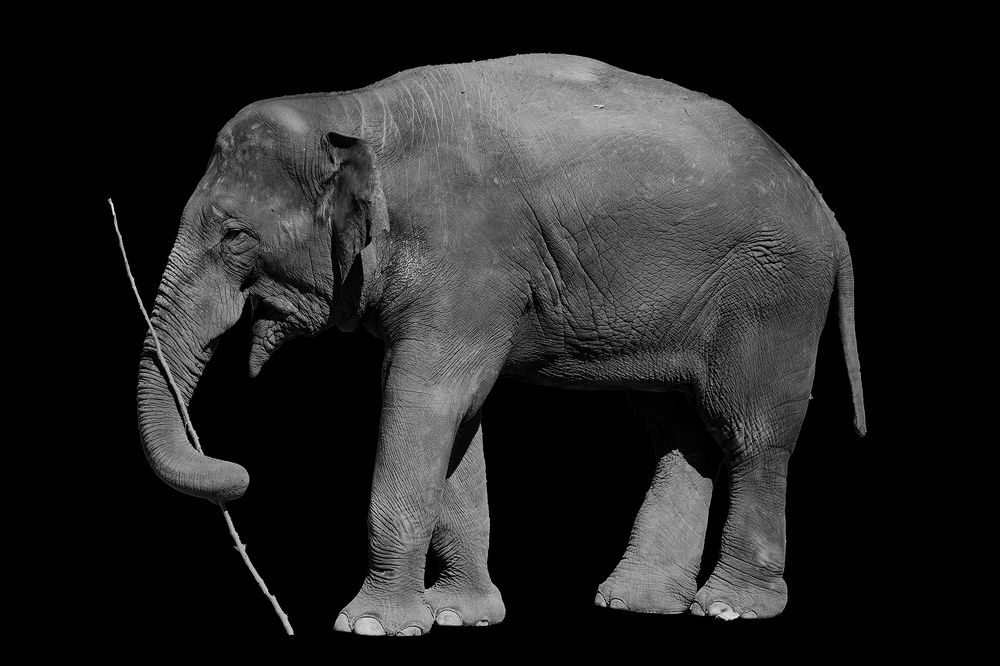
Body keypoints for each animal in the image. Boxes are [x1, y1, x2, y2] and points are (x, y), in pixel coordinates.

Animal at [136, 54, 866, 636]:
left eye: (234, 235)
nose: (240, 475)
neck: (354, 111)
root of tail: (822, 205)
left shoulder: (471, 258)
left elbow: (422, 398)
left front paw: (372, 625)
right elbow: (458, 418)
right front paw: (461, 615)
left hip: (773, 294)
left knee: (751, 434)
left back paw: (731, 607)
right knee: (676, 432)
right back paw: (634, 602)